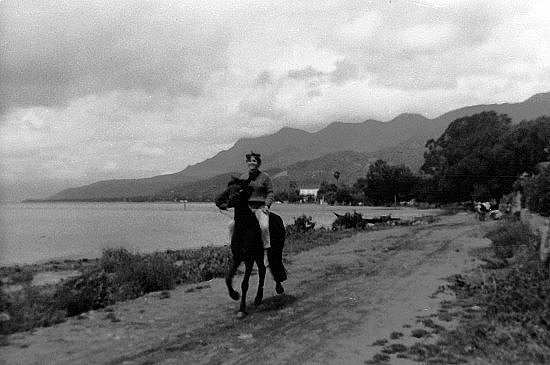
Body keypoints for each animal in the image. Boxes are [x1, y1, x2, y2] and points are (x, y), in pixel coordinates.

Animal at [217, 176, 288, 316]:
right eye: (228, 188)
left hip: (274, 249)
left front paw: (242, 309)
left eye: (240, 189)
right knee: (263, 270)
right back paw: (258, 298)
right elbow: (228, 277)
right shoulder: (238, 257)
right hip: (259, 254)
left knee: (274, 264)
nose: (219, 201)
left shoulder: (248, 259)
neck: (244, 228)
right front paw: (234, 295)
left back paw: (278, 288)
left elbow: (244, 284)